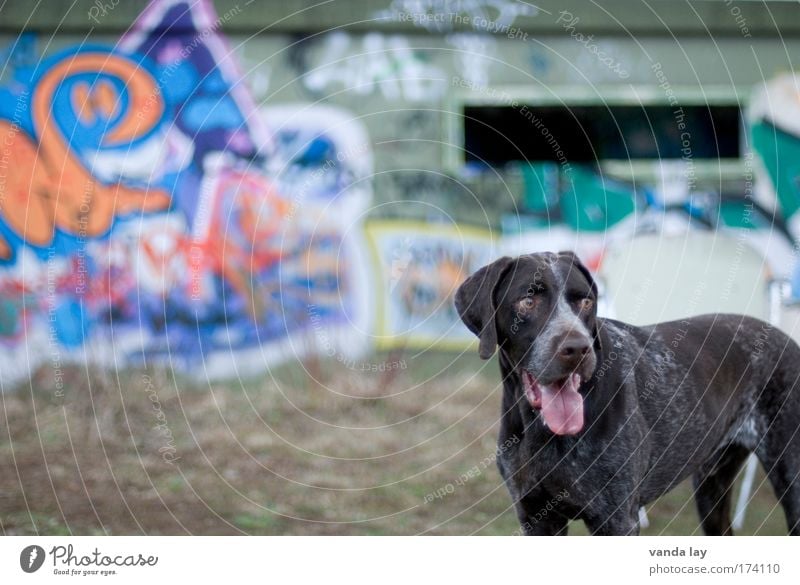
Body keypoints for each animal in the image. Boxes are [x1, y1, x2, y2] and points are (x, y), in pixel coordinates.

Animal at [456, 251, 800, 532]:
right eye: (528, 301)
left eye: (585, 302)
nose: (577, 348)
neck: (542, 432)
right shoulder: (537, 517)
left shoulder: (616, 519)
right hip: (710, 487)